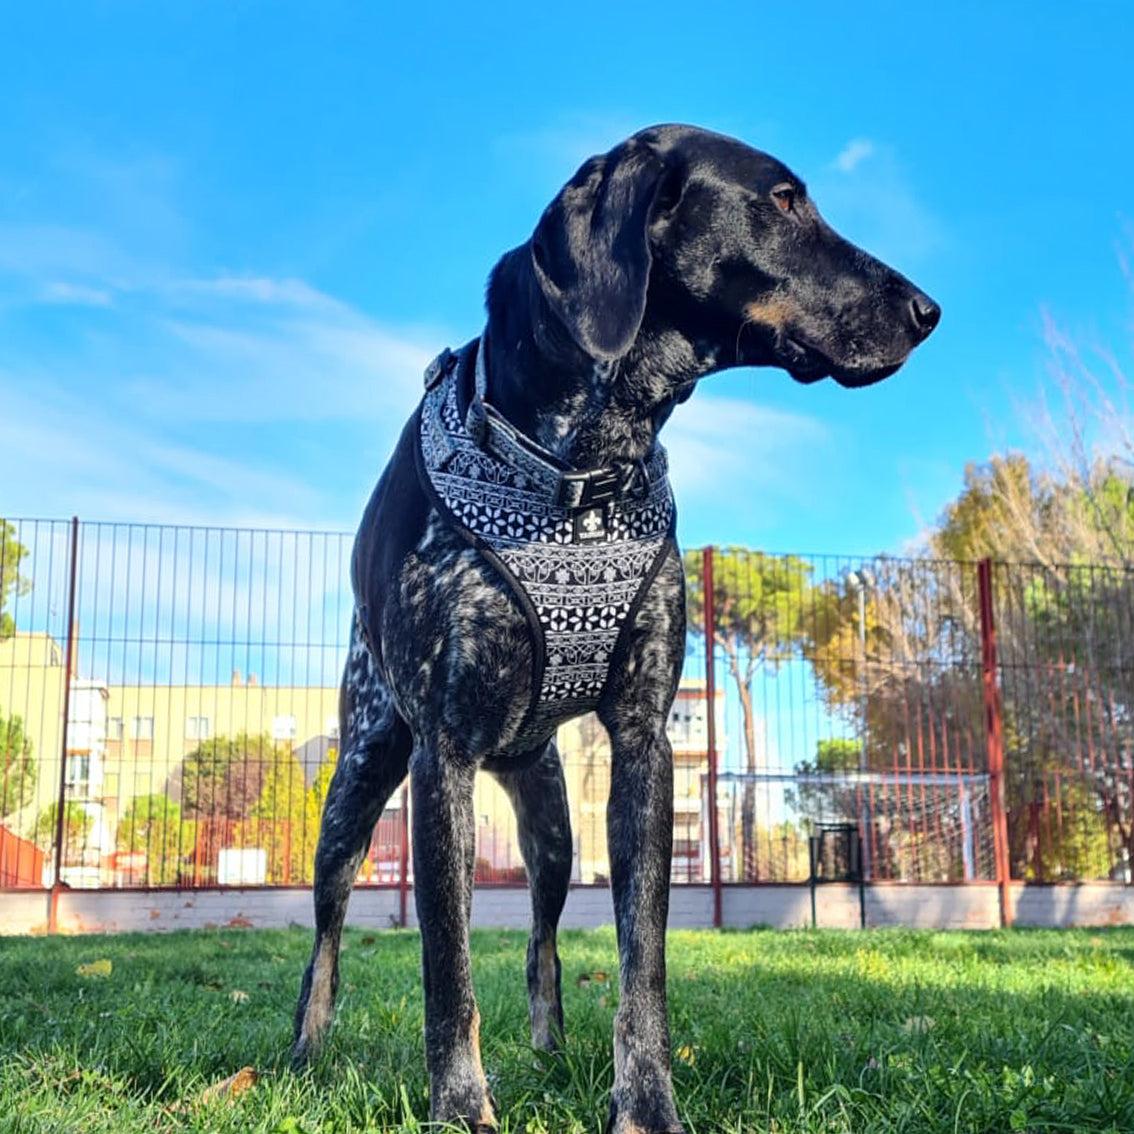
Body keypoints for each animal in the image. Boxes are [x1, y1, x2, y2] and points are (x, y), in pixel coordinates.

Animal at [292, 124, 938, 1134]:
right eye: (785, 200)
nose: (928, 310)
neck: (582, 466)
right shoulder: (443, 758)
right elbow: (447, 969)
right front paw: (461, 1107)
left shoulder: (642, 749)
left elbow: (642, 969)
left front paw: (646, 1106)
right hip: (362, 774)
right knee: (327, 928)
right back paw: (304, 1054)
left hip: (556, 828)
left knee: (543, 940)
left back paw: (550, 1050)